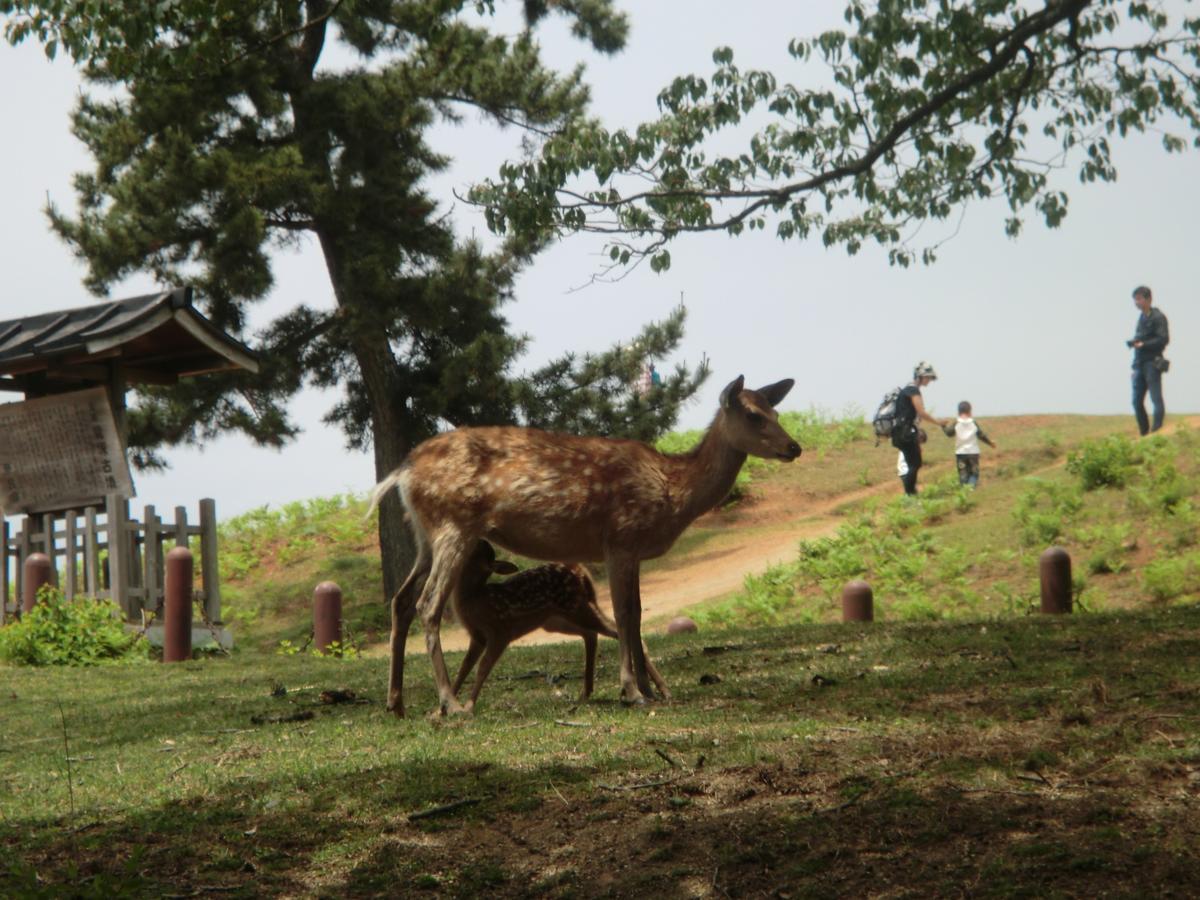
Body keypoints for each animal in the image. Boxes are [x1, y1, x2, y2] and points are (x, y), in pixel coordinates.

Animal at [451, 542, 672, 710]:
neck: (474, 598)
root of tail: (583, 572)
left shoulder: (499, 631)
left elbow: (482, 667)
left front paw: (468, 707)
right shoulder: (477, 636)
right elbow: (464, 666)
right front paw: (447, 704)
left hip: (575, 607)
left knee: (613, 630)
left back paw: (660, 689)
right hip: (557, 619)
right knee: (592, 633)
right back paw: (586, 693)